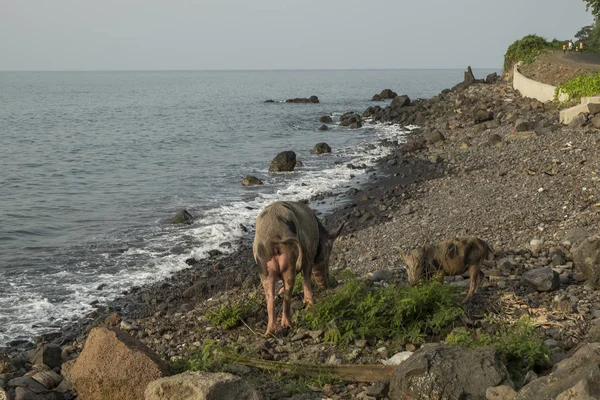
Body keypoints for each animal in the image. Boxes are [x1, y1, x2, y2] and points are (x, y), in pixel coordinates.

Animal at [252, 202, 344, 336]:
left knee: (271, 299)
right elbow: (307, 277)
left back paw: (270, 332)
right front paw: (309, 303)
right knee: (288, 294)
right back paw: (288, 324)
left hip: (264, 267)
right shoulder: (309, 254)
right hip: (290, 259)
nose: (327, 284)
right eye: (328, 255)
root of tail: (274, 234)